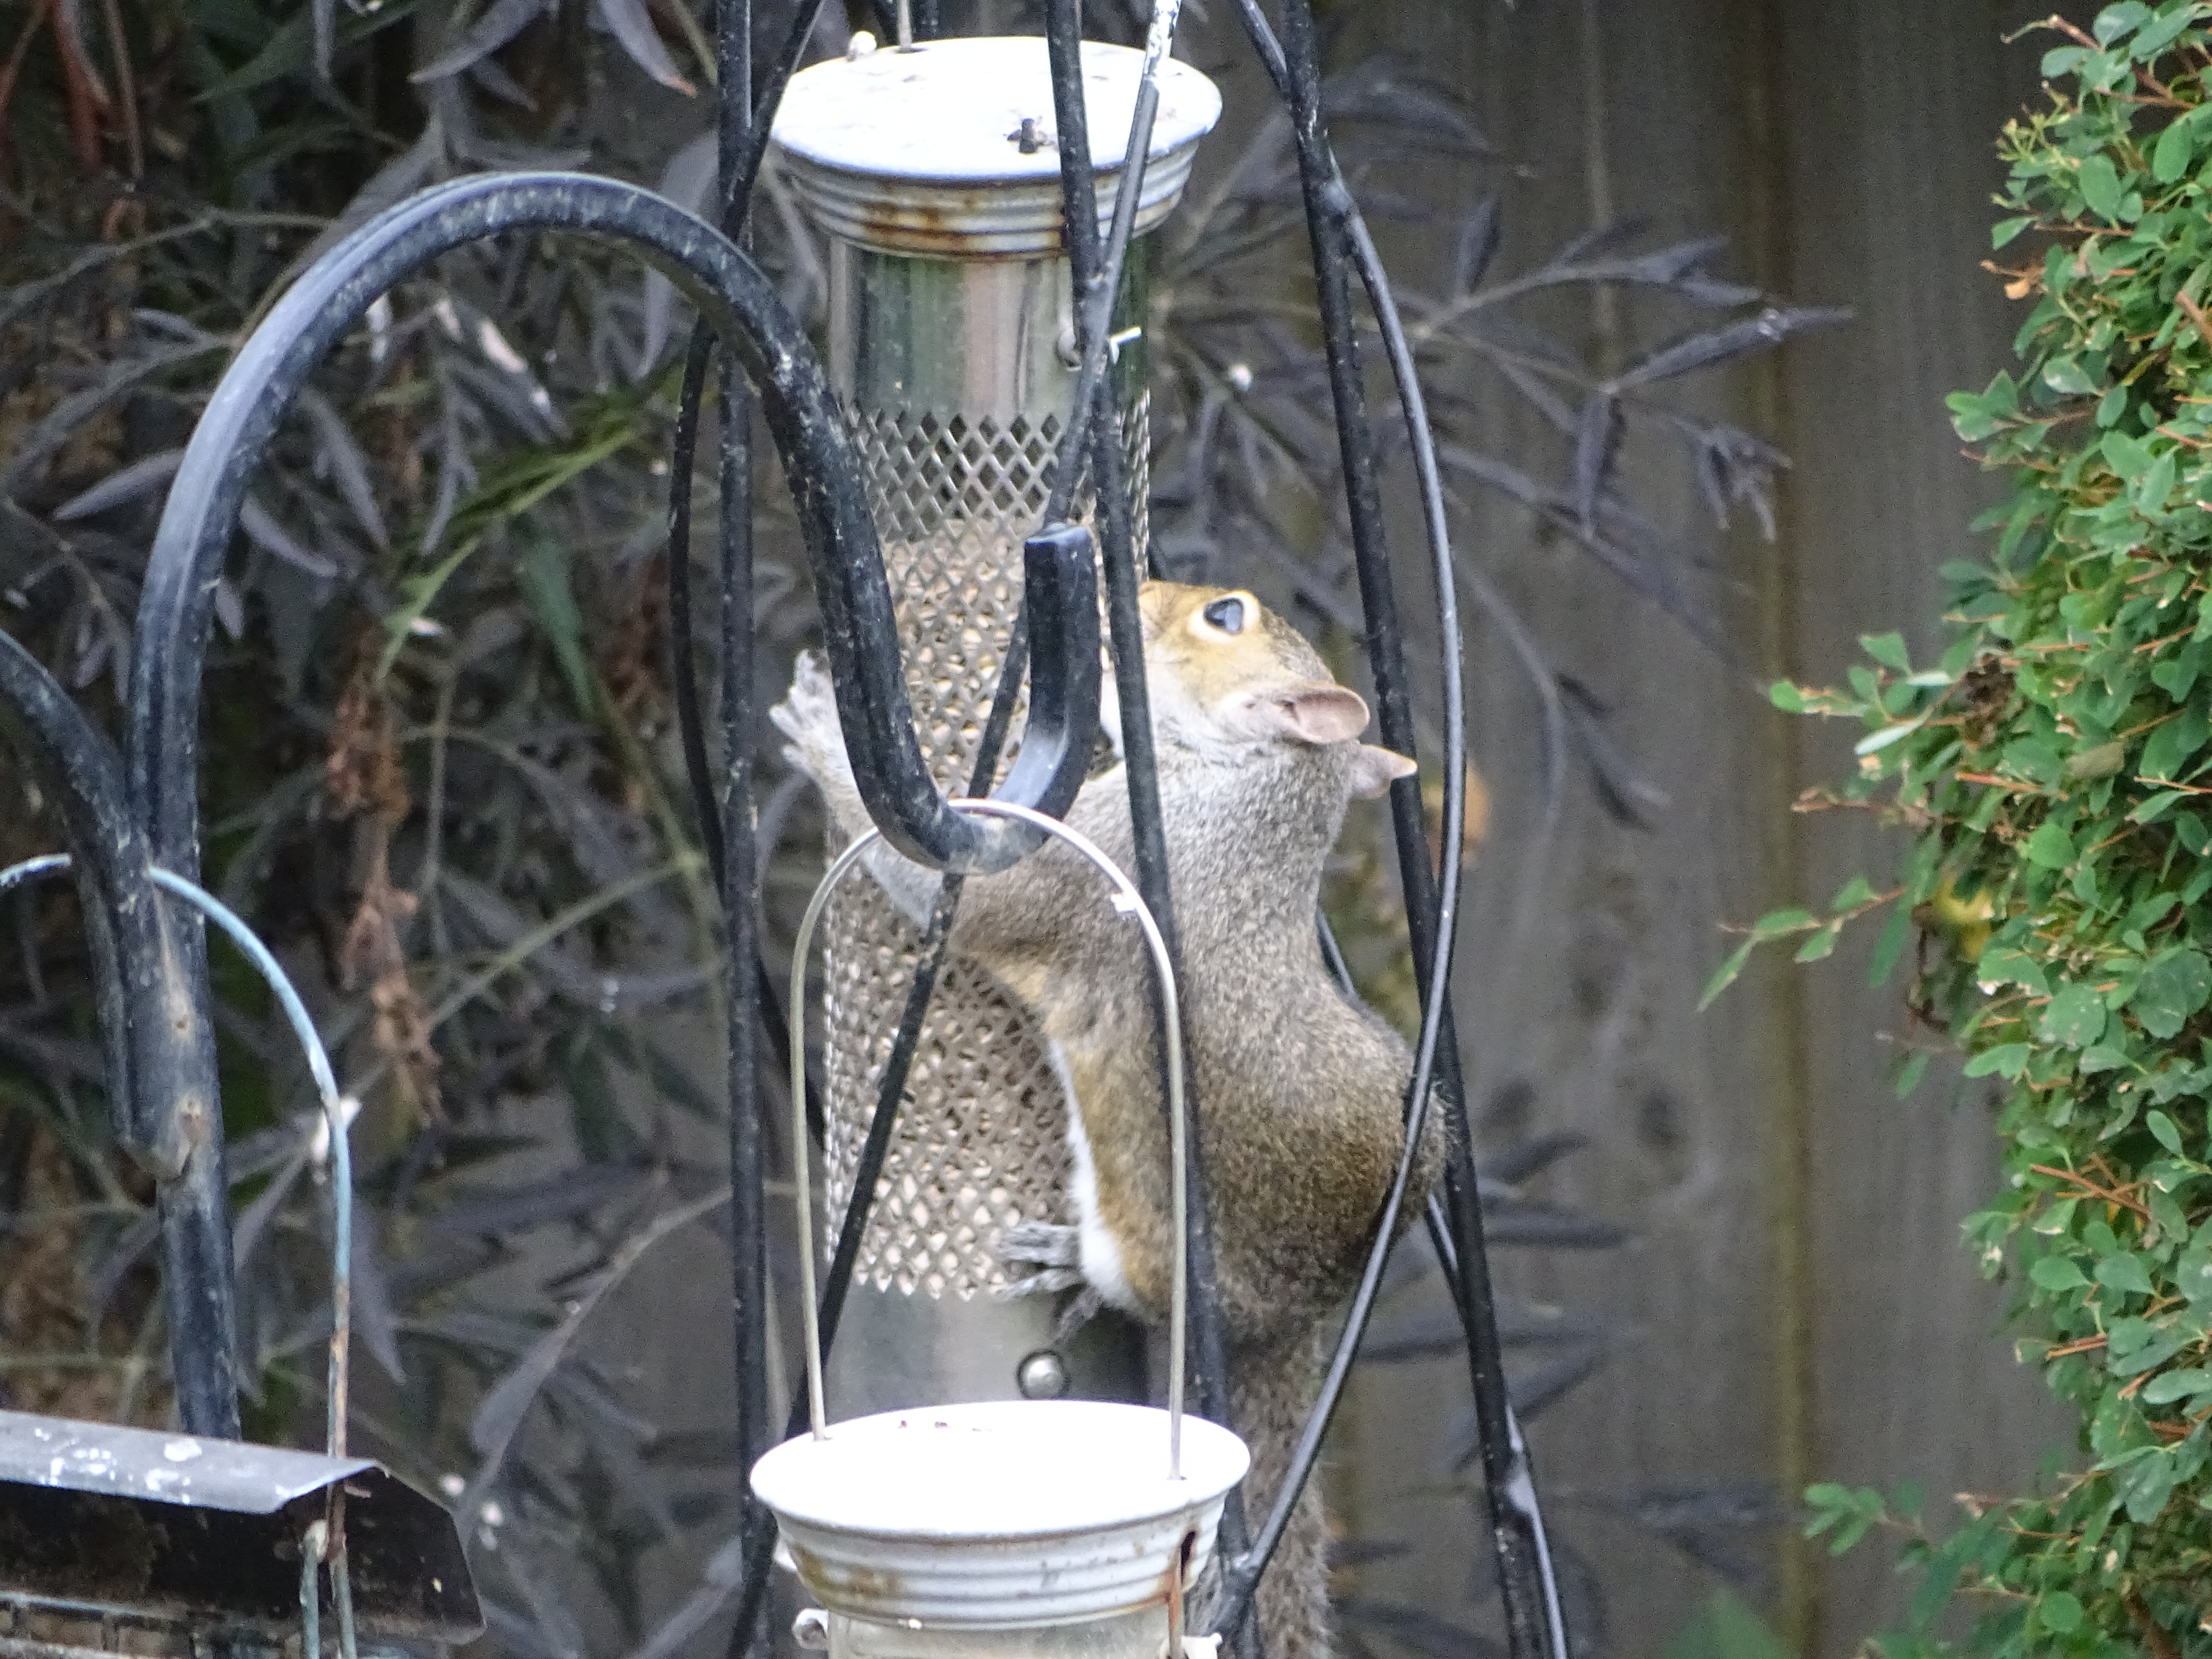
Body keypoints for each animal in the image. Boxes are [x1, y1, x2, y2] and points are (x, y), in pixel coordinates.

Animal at [771, 580, 1447, 1659]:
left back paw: (1064, 1264)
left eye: (1224, 615)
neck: (1251, 799)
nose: (1123, 587)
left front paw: (819, 731)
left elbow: (966, 897)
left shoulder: (1103, 857)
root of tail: (1292, 1318)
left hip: (1152, 1243)